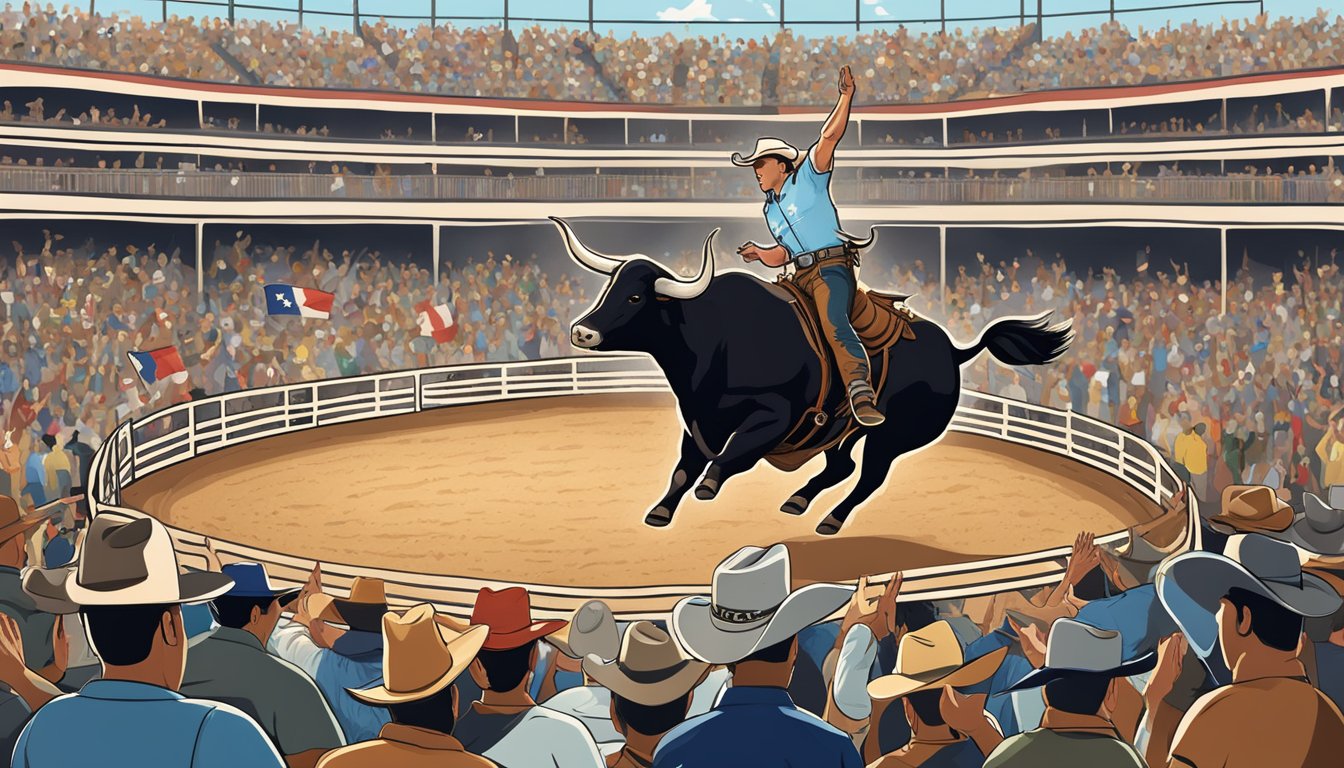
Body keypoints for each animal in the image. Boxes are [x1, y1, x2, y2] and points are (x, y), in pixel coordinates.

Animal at [551, 219, 1075, 538]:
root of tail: (952, 349)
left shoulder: (775, 415)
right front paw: (661, 509)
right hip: (845, 430)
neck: (716, 340)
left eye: (636, 298)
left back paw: (830, 520)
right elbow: (684, 466)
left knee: (869, 478)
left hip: (893, 436)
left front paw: (710, 486)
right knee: (841, 467)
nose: (582, 331)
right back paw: (798, 500)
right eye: (610, 286)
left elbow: (731, 457)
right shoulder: (698, 419)